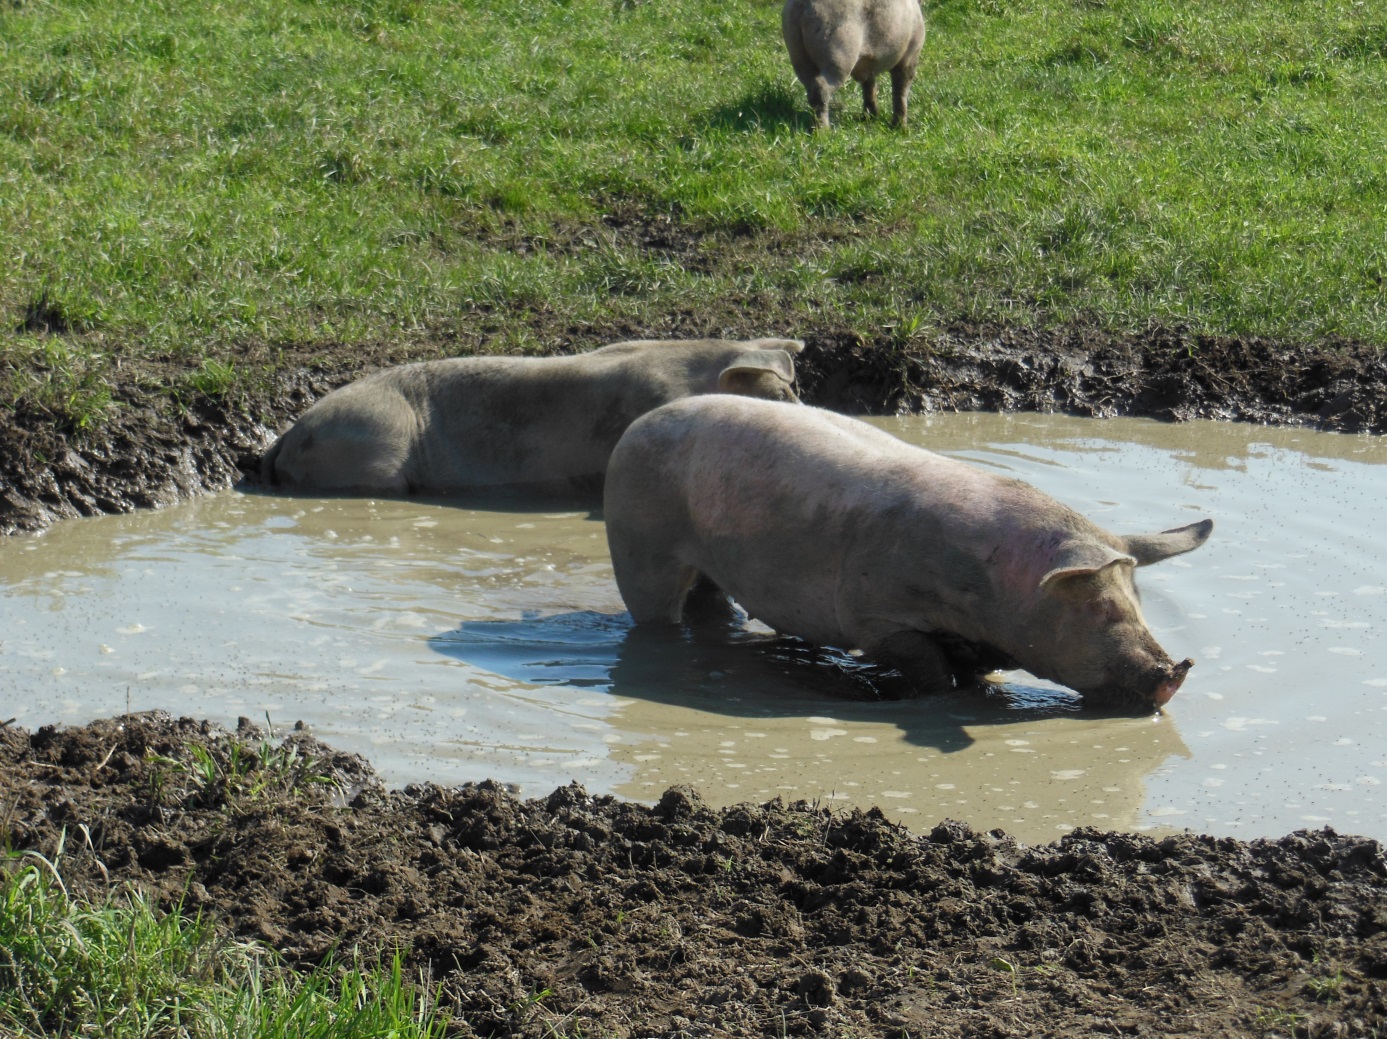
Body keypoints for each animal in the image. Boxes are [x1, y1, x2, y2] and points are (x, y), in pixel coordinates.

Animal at [604, 396, 1213, 710]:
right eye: (1099, 609)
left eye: (1139, 605)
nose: (1174, 671)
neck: (989, 596)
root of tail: (639, 422)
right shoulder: (875, 616)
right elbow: (927, 669)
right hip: (636, 539)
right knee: (655, 611)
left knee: (711, 602)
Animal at [782, 0, 926, 130]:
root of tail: (803, 6)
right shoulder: (910, 54)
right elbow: (900, 91)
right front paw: (901, 129)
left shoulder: (868, 67)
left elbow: (869, 86)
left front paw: (871, 117)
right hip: (838, 52)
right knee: (820, 86)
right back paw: (824, 131)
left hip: (797, 54)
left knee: (810, 87)